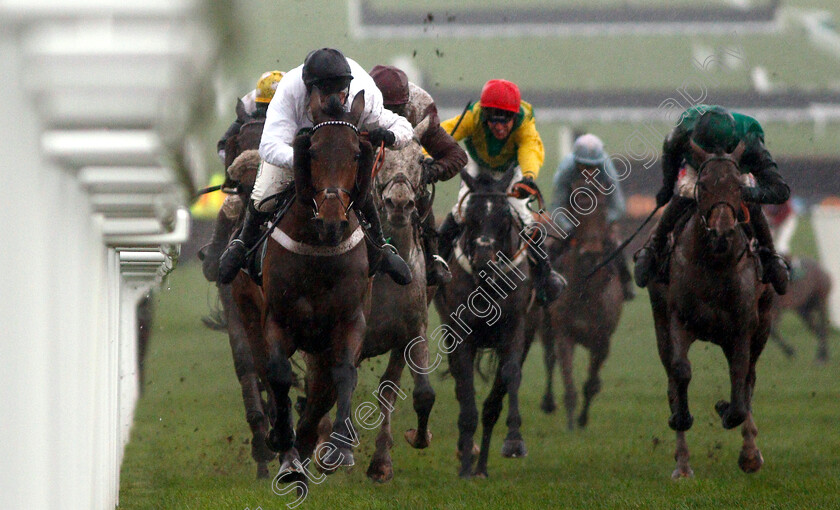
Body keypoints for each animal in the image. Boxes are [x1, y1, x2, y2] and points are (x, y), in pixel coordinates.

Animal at [258, 89, 372, 484]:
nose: (332, 223)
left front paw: (339, 447)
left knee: (322, 393)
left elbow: (345, 372)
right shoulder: (277, 319)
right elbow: (278, 373)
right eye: (314, 152)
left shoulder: (350, 320)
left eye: (356, 153)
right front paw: (281, 439)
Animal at [434, 167, 532, 478]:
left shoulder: (516, 328)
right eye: (470, 218)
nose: (484, 260)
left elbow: (510, 375)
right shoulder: (461, 335)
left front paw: (514, 440)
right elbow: (466, 394)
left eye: (504, 217)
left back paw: (482, 466)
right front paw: (465, 464)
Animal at [540, 179, 624, 430]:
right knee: (549, 359)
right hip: (544, 325)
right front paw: (570, 422)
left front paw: (583, 418)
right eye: (578, 205)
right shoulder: (564, 333)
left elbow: (592, 383)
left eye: (603, 208)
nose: (591, 251)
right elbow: (567, 379)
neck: (585, 291)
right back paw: (548, 402)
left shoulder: (603, 339)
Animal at [648, 142, 776, 478]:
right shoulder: (678, 319)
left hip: (763, 322)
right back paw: (682, 463)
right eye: (703, 186)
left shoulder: (744, 327)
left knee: (749, 379)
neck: (715, 264)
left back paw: (750, 451)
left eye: (738, 187)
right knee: (672, 376)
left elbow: (741, 384)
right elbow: (680, 372)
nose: (721, 234)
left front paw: (729, 417)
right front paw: (681, 419)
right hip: (660, 322)